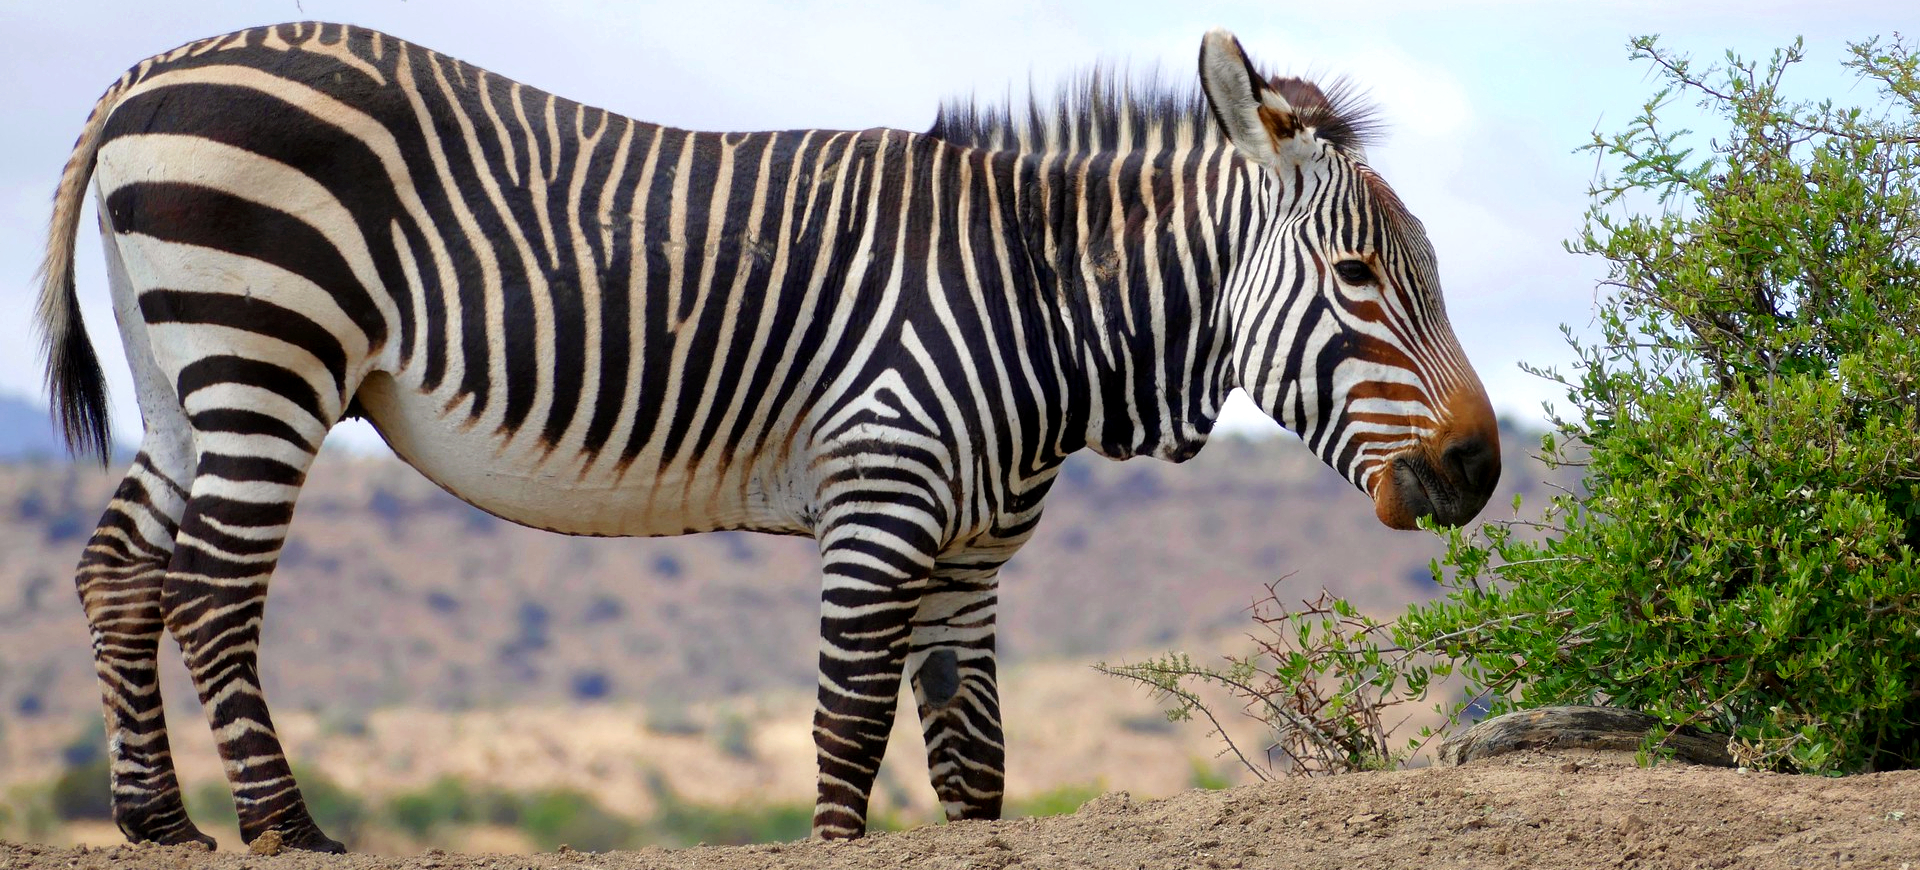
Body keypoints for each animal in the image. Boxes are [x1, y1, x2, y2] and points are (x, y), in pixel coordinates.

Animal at [33, 18, 1497, 848]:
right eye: (1361, 275)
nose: (1479, 466)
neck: (1034, 300)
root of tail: (147, 70)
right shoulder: (882, 504)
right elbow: (847, 732)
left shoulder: (969, 559)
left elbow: (975, 766)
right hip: (265, 345)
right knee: (211, 593)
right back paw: (285, 828)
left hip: (184, 371)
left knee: (118, 574)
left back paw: (156, 821)